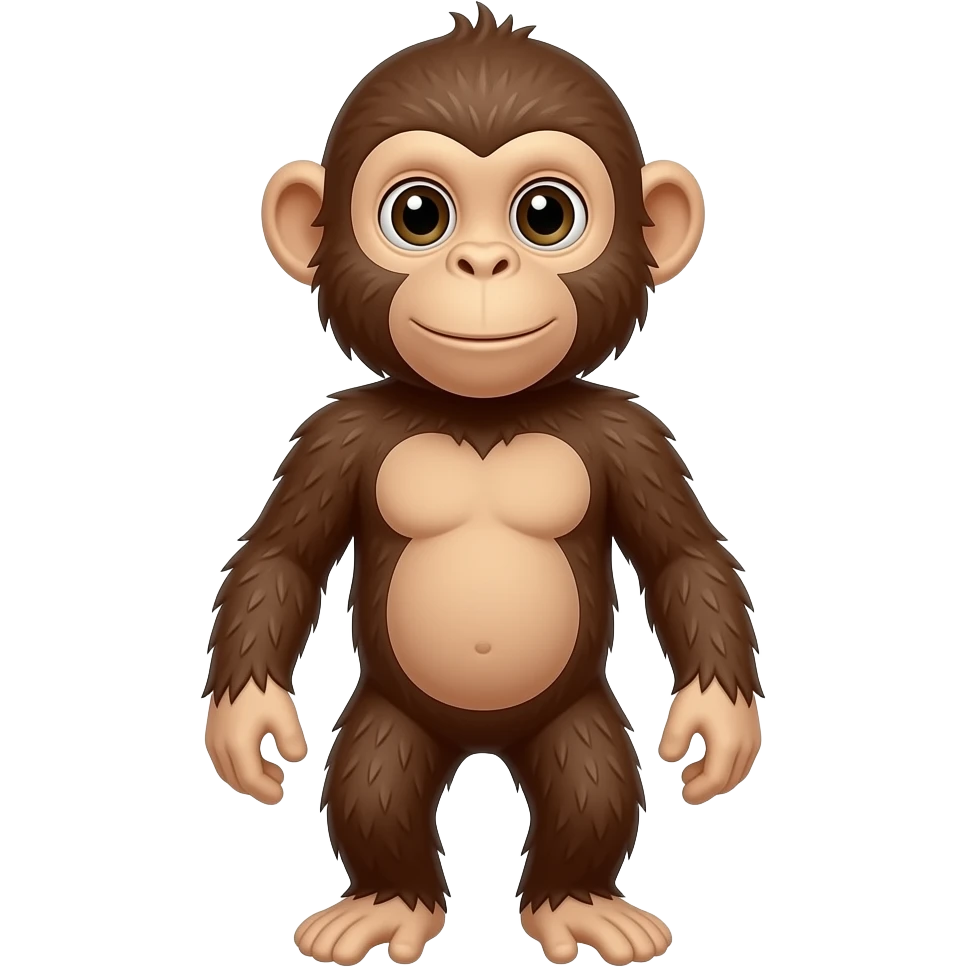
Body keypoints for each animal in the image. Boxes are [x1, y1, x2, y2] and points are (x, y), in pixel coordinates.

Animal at [204, 5, 762, 965]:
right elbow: (281, 556)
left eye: (545, 214)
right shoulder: (333, 436)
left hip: (571, 714)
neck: (482, 415)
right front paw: (248, 723)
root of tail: (482, 741)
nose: (481, 265)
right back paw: (387, 901)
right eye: (418, 214)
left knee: (591, 779)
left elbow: (683, 555)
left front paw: (717, 723)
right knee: (375, 780)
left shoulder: (630, 436)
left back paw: (577, 901)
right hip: (393, 715)